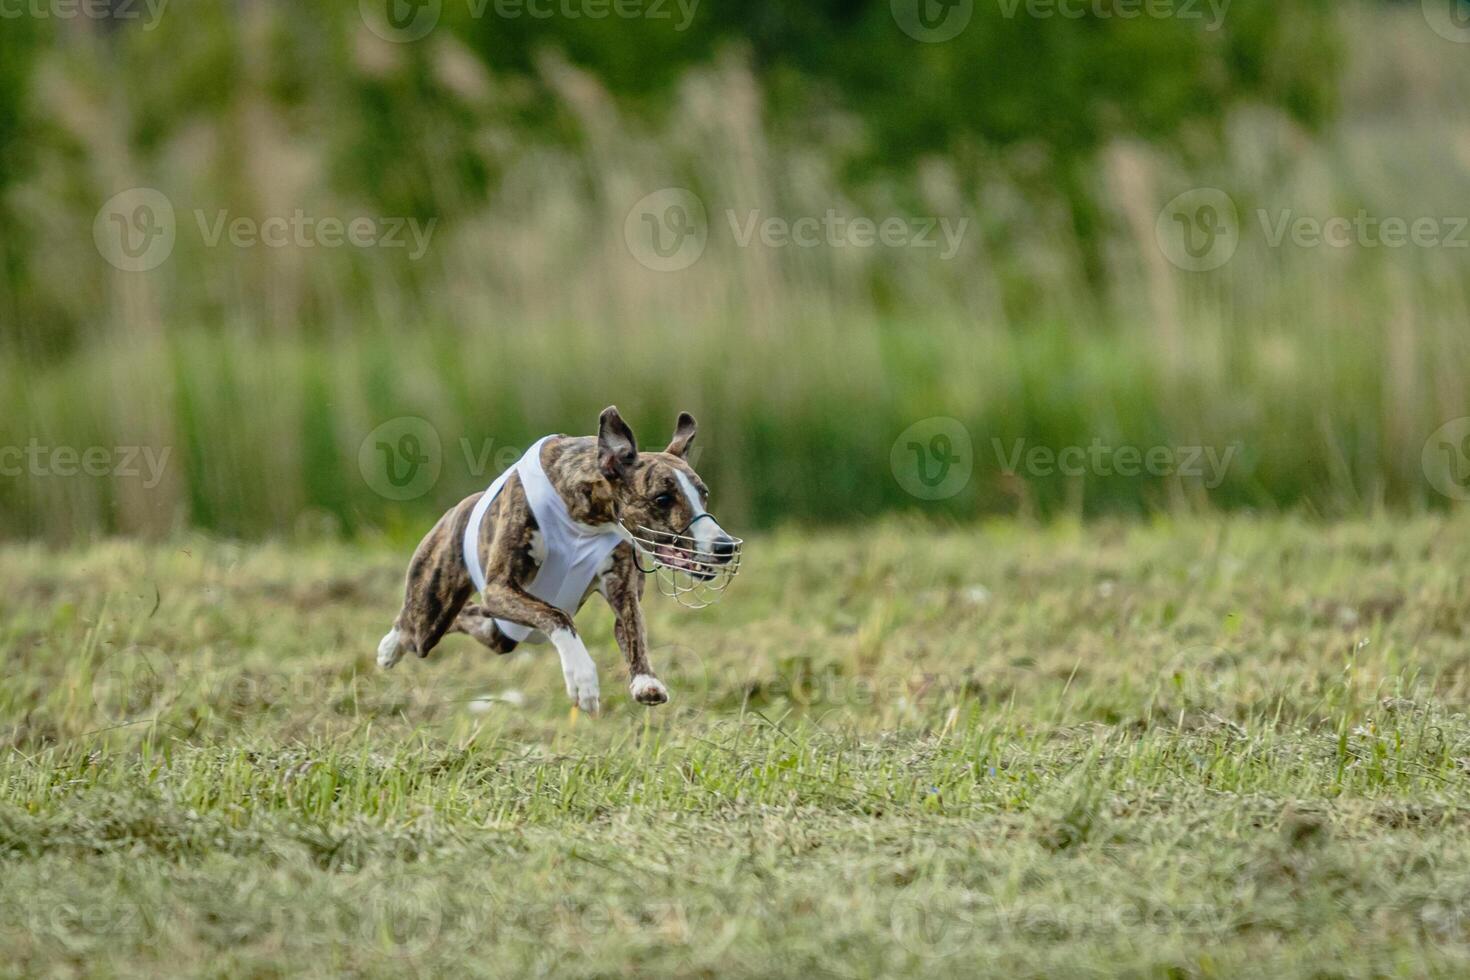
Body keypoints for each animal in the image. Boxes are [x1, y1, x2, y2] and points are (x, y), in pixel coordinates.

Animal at [373, 405, 740, 714]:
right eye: (662, 498)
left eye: (703, 494)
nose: (724, 546)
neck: (586, 519)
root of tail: (458, 508)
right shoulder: (501, 588)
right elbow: (559, 616)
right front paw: (583, 678)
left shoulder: (622, 588)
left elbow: (632, 626)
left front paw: (645, 681)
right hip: (433, 611)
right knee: (414, 628)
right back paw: (390, 647)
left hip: (501, 630)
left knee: (475, 617)